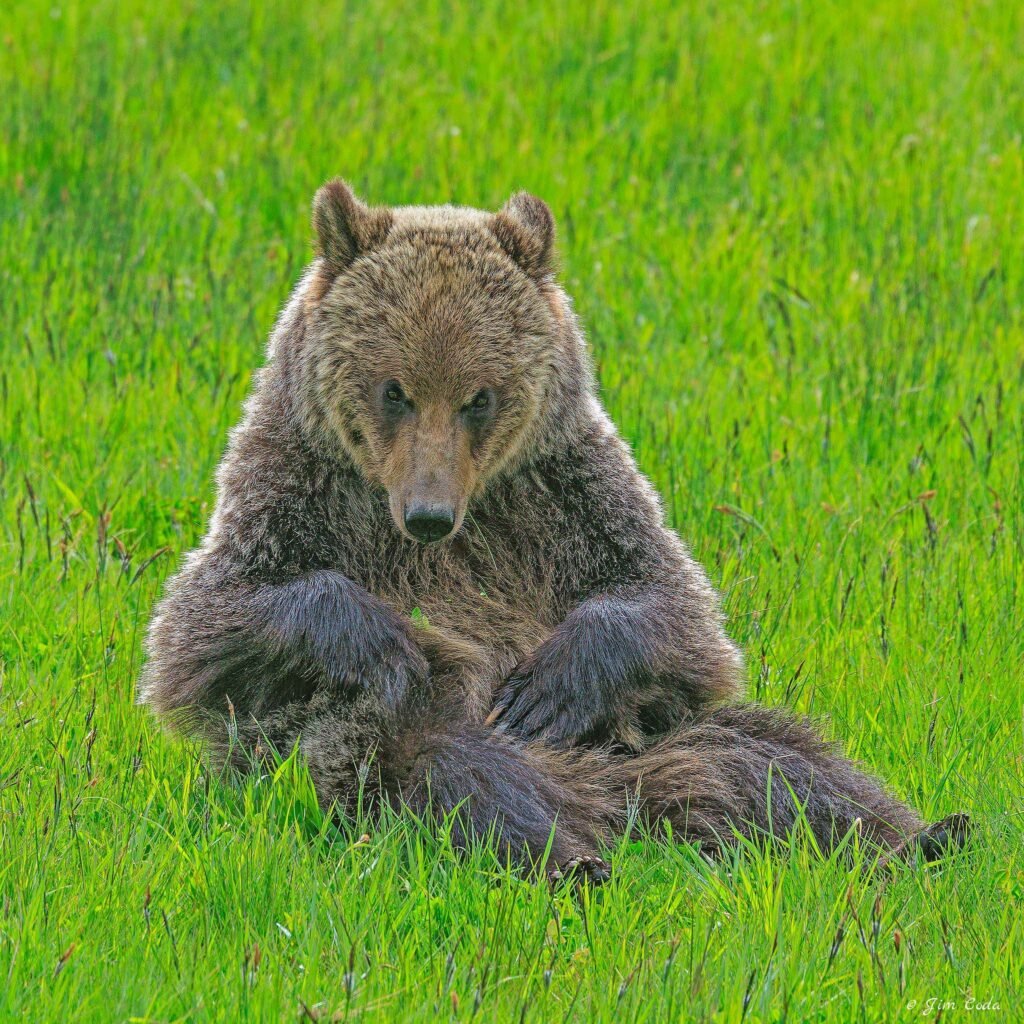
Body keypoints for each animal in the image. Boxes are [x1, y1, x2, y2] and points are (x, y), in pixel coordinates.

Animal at [139, 179, 968, 882]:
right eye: (393, 390)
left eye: (479, 396)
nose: (429, 515)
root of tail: (622, 801)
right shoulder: (297, 484)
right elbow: (208, 623)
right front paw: (391, 644)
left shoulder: (562, 487)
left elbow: (673, 604)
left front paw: (547, 686)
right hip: (367, 750)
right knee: (458, 776)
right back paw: (572, 860)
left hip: (658, 733)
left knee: (781, 762)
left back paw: (921, 836)